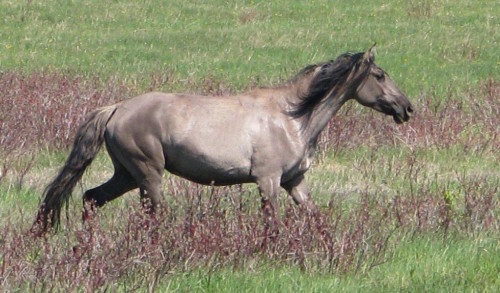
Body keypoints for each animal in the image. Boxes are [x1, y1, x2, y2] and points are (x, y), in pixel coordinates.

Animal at [32, 46, 414, 233]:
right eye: (380, 75)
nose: (407, 108)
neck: (293, 118)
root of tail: (115, 109)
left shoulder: (295, 181)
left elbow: (316, 217)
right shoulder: (268, 180)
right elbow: (272, 222)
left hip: (125, 174)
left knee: (90, 198)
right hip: (147, 175)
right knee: (150, 214)